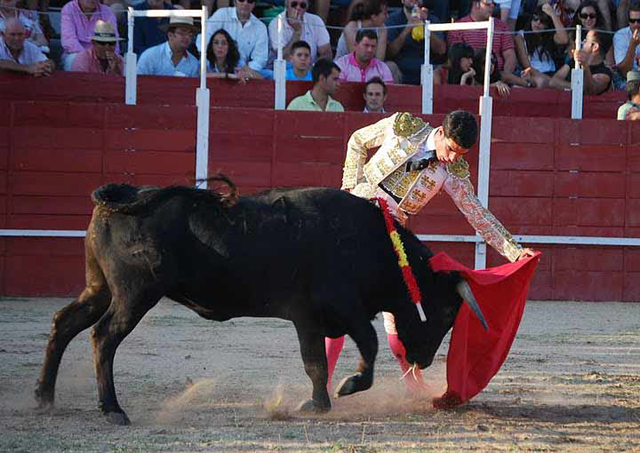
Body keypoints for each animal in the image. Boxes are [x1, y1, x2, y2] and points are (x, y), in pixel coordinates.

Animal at [36, 179, 484, 424]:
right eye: (447, 310)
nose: (423, 361)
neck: (373, 243)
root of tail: (126, 194)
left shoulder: (307, 318)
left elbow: (314, 362)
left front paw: (317, 403)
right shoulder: (342, 308)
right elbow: (366, 347)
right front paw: (346, 387)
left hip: (99, 288)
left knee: (64, 323)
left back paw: (44, 397)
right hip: (134, 295)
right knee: (103, 337)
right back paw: (112, 409)